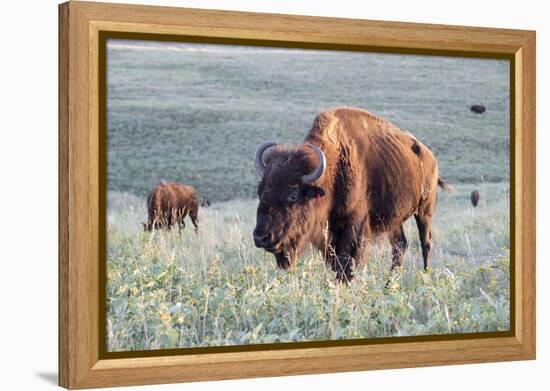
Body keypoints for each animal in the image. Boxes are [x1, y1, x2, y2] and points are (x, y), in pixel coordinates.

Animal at [254, 107, 452, 284]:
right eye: (260, 190)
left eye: (293, 194)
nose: (261, 237)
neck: (333, 170)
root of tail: (430, 156)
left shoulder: (354, 226)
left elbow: (347, 262)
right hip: (394, 221)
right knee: (400, 246)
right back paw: (388, 285)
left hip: (424, 210)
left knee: (425, 243)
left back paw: (425, 277)